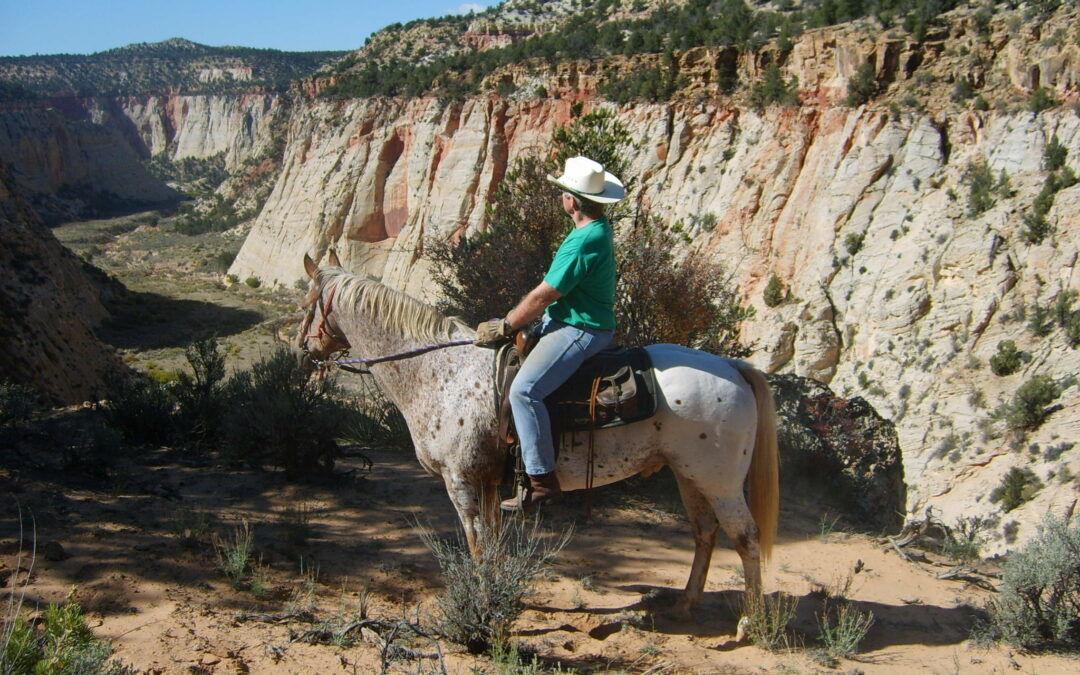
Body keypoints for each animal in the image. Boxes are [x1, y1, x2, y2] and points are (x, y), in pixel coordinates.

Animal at [300, 251, 781, 622]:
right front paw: (494, 588)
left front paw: (480, 599)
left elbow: (475, 543)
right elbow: (492, 541)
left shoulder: (460, 481)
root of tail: (732, 366)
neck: (437, 372)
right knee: (705, 534)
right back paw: (685, 604)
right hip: (690, 477)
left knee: (745, 537)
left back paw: (749, 623)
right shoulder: (488, 482)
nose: (305, 349)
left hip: (719, 482)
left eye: (307, 302)